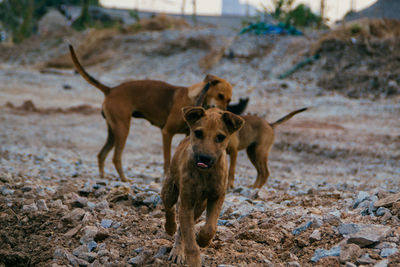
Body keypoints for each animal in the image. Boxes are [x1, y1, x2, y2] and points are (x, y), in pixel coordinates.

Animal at [67, 45, 233, 182]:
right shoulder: (166, 133)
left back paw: (103, 177)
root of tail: (110, 90)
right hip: (122, 130)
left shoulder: (189, 136)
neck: (195, 98)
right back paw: (124, 179)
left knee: (101, 154)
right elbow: (167, 159)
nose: (224, 112)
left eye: (229, 100)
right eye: (220, 96)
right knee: (115, 157)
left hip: (113, 131)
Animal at [162, 107, 244, 267]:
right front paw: (194, 260)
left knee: (182, 230)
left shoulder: (217, 197)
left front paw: (202, 239)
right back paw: (170, 227)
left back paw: (178, 250)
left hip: (199, 207)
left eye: (220, 137)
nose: (204, 158)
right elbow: (191, 244)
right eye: (199, 133)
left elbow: (210, 227)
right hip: (170, 189)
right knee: (169, 209)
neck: (205, 174)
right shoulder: (186, 203)